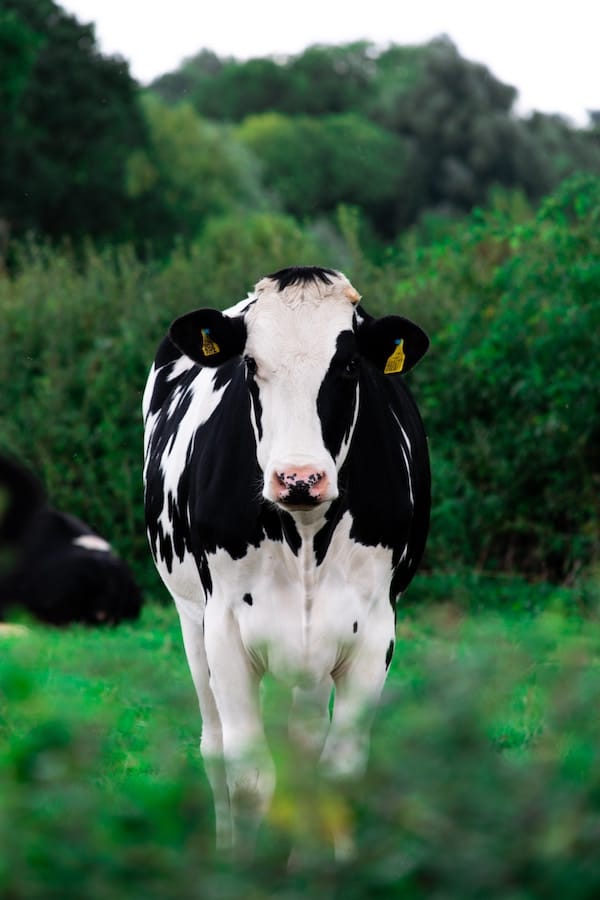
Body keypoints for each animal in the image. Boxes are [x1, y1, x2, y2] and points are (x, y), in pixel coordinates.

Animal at [143, 266, 428, 852]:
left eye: (349, 365)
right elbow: (248, 775)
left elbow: (337, 775)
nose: (298, 478)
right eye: (251, 364)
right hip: (189, 614)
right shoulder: (224, 626)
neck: (305, 536)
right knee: (213, 744)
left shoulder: (375, 631)